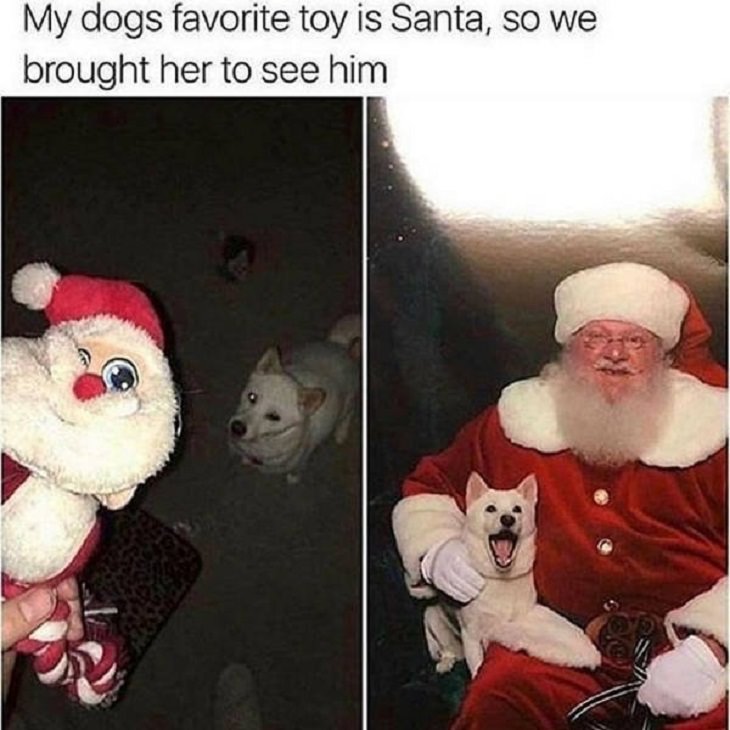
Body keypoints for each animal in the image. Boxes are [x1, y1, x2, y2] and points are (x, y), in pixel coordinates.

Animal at [229, 314, 360, 480]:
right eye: (252, 397)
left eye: (273, 416)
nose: (237, 427)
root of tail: (340, 346)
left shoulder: (300, 462)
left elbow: (295, 471)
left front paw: (292, 479)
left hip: (348, 402)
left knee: (347, 415)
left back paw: (341, 433)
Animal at [420, 472, 596, 676]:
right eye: (490, 508)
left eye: (517, 509)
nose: (507, 519)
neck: (501, 579)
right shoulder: (471, 635)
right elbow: (476, 667)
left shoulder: (515, 620)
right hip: (432, 619)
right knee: (446, 650)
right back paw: (445, 662)